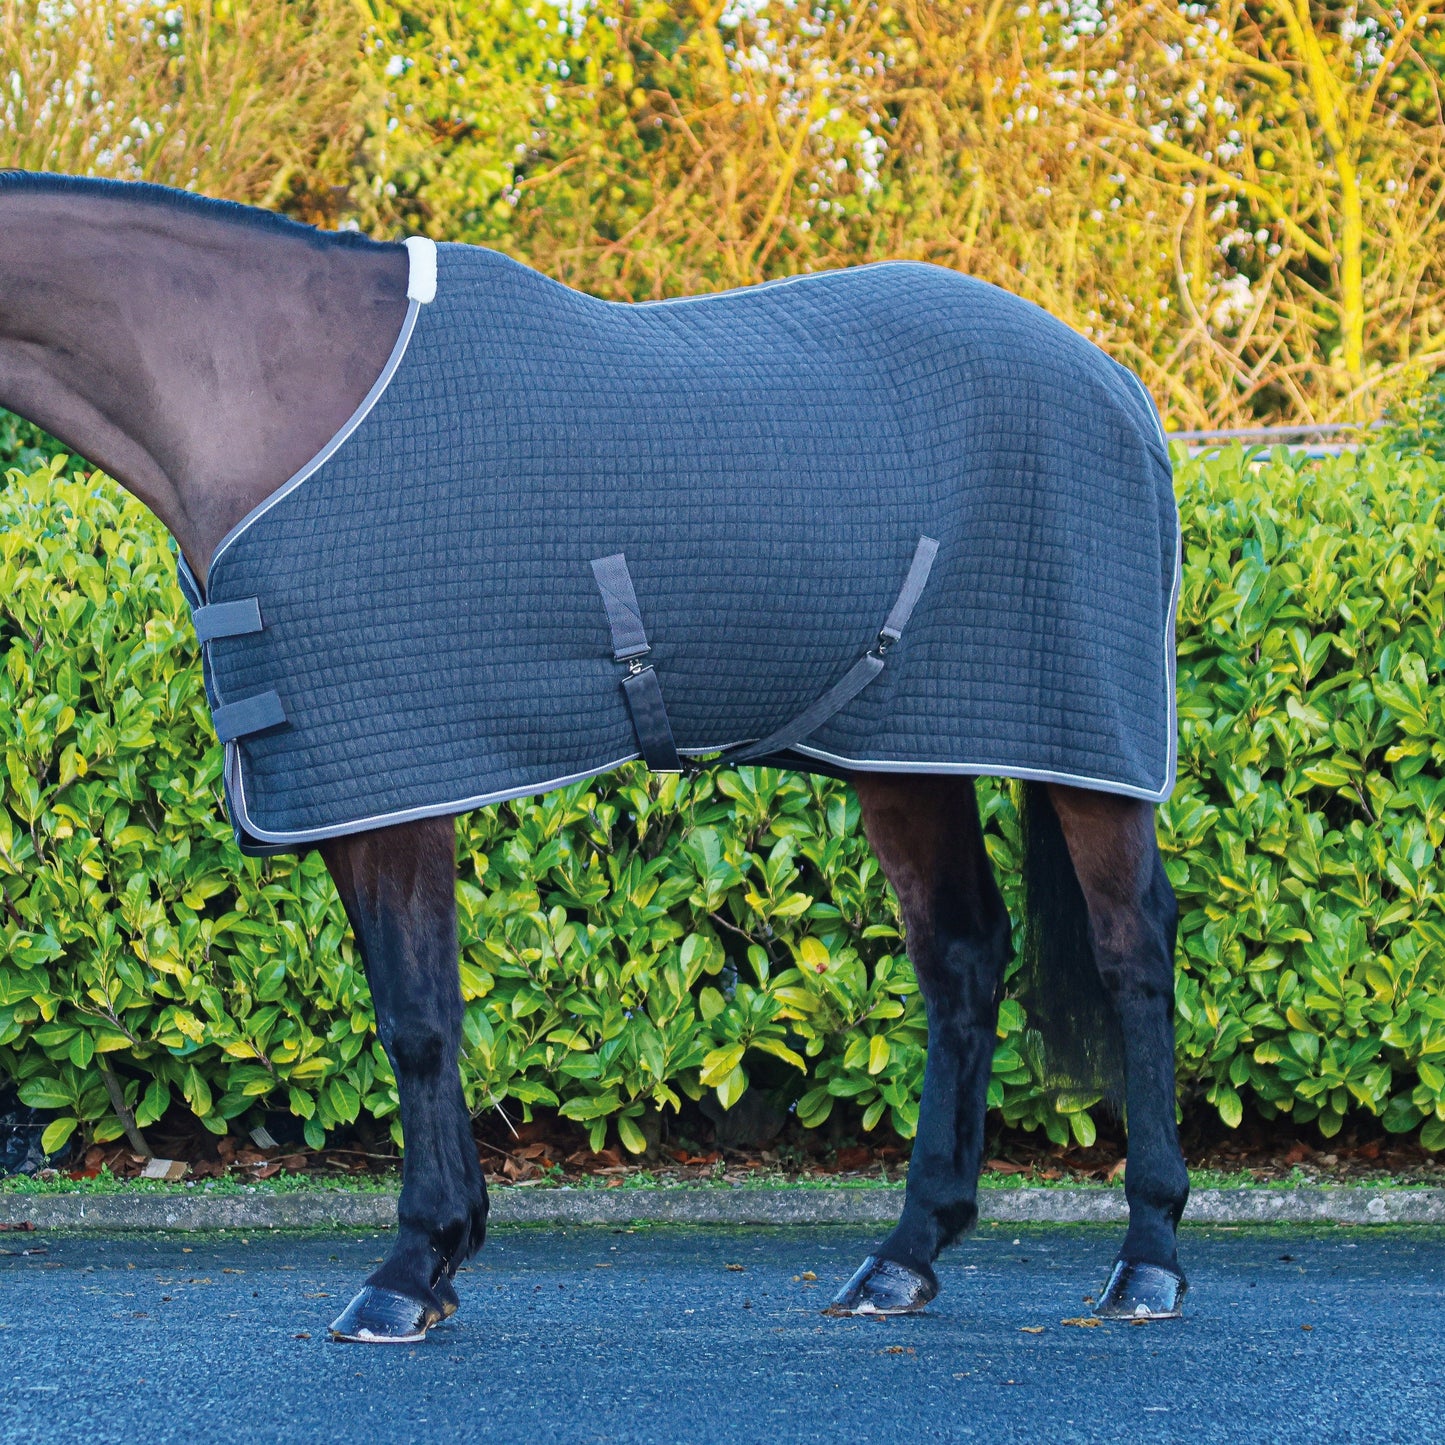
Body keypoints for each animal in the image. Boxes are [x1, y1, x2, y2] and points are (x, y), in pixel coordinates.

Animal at [0, 172, 1188, 1344]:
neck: (264, 392)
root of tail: (1119, 384)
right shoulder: (357, 785)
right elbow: (420, 1009)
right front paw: (444, 1250)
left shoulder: (399, 784)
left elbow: (416, 1020)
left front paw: (409, 1265)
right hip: (906, 758)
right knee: (960, 957)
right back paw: (904, 1254)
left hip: (1086, 747)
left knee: (1131, 953)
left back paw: (1146, 1259)